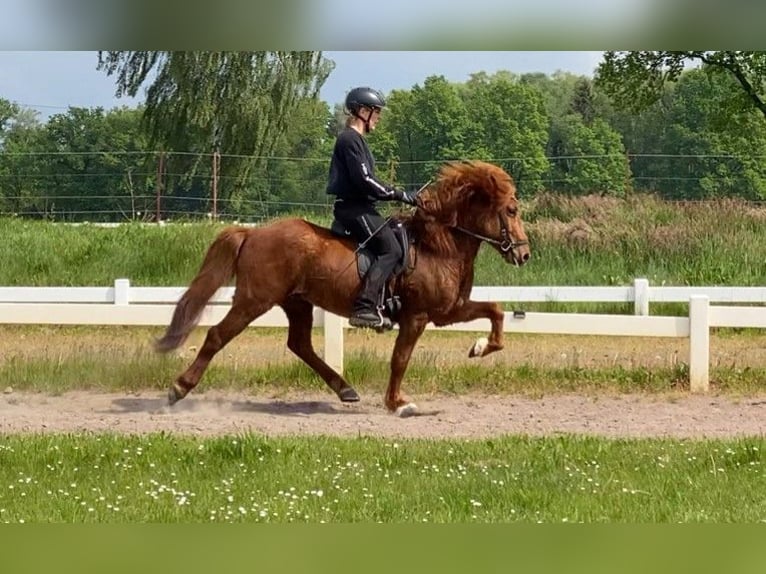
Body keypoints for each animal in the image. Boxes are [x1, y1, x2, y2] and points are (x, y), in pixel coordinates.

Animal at [154, 160, 532, 416]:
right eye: (511, 210)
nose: (524, 254)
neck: (438, 245)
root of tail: (254, 232)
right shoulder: (418, 317)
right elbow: (400, 359)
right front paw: (398, 403)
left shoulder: (447, 311)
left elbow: (496, 311)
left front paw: (480, 348)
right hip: (254, 300)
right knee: (218, 335)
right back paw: (179, 388)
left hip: (297, 303)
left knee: (300, 345)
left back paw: (345, 389)